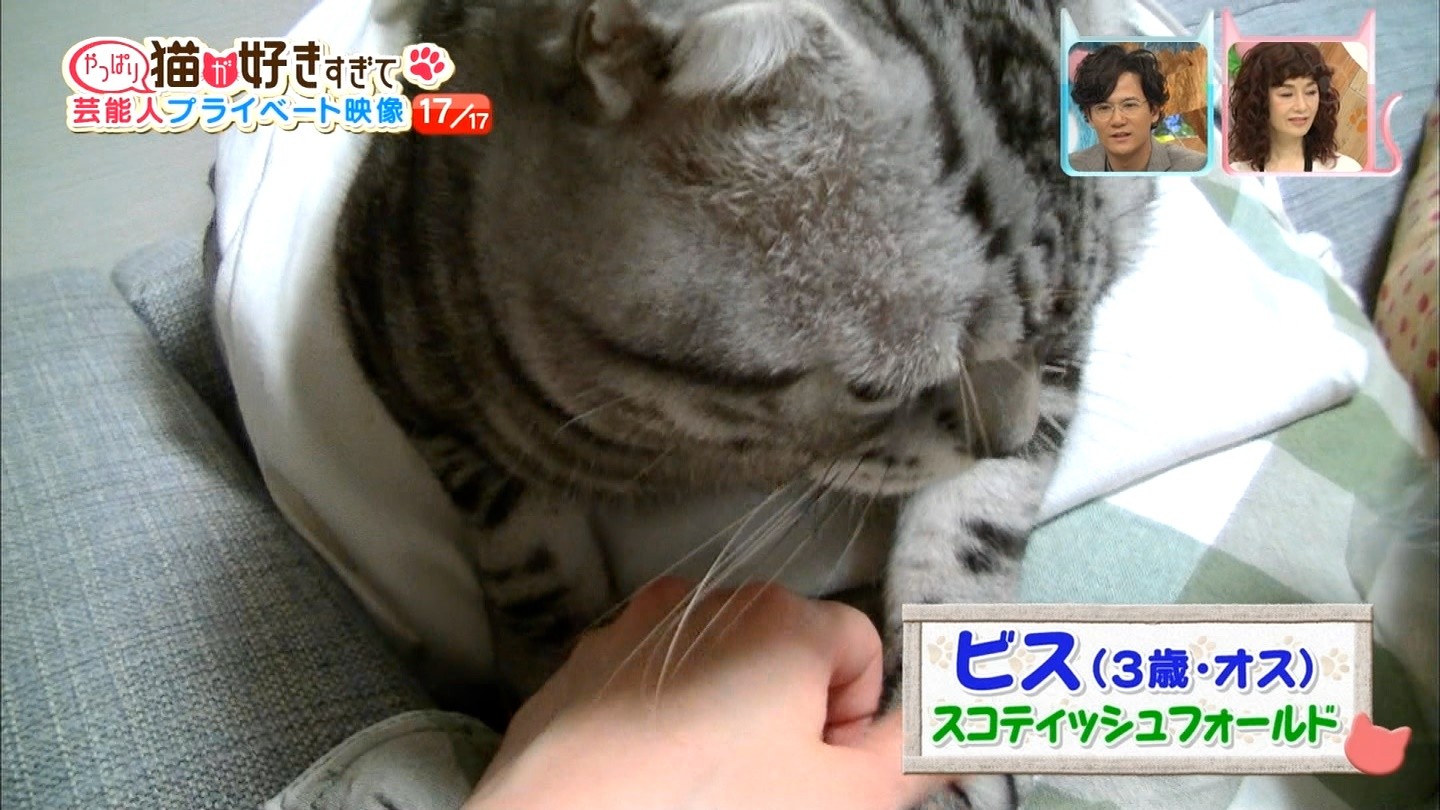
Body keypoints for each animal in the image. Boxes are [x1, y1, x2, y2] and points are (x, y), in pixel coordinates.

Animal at [271, 0, 1155, 806]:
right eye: (878, 389)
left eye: (1063, 326)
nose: (1007, 435)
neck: (678, 437)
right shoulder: (394, 330)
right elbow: (526, 551)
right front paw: (551, 669)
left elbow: (971, 530)